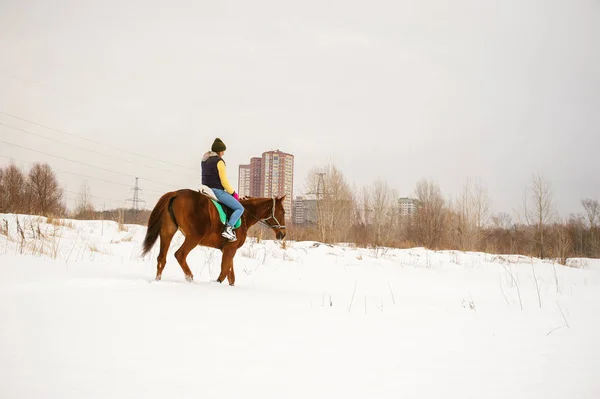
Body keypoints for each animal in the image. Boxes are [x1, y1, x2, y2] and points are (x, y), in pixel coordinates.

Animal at [144, 190, 288, 286]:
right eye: (283, 212)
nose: (283, 234)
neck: (245, 216)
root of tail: (176, 193)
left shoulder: (228, 249)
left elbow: (230, 275)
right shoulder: (230, 248)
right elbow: (224, 273)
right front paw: (216, 283)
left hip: (167, 232)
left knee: (161, 258)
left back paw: (158, 280)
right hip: (193, 237)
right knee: (180, 254)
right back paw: (190, 277)